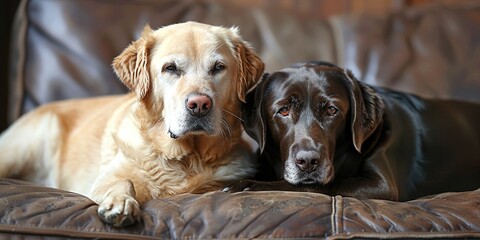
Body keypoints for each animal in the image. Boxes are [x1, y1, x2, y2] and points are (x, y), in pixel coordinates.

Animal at [0, 22, 262, 227]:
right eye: (170, 68)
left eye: (218, 68)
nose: (199, 104)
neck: (187, 158)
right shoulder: (106, 178)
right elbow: (123, 181)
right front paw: (120, 203)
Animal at [225, 61, 480, 200]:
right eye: (284, 111)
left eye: (331, 110)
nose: (307, 162)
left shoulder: (382, 185)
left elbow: (321, 184)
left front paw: (245, 185)